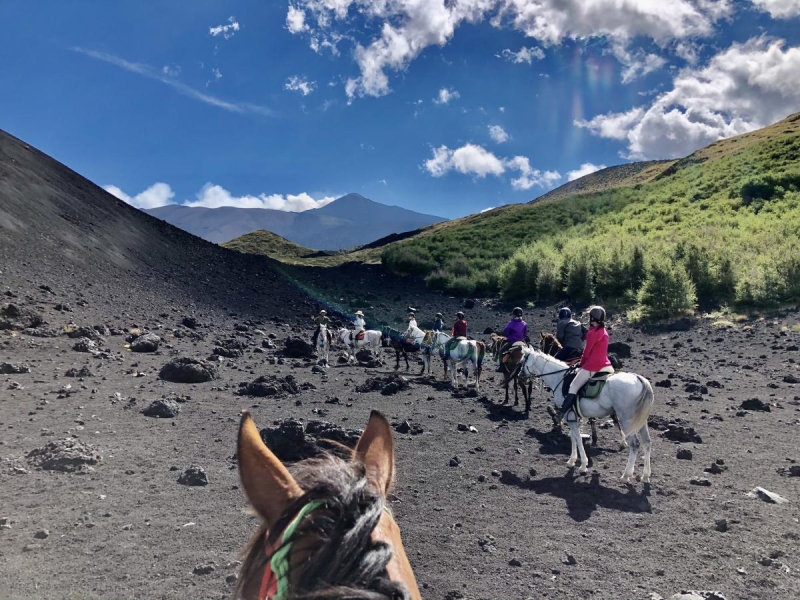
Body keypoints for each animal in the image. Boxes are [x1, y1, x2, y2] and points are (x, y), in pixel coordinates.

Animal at [520, 346, 656, 482]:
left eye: (522, 361)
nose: (520, 376)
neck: (559, 377)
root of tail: (640, 379)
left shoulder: (569, 415)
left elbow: (578, 438)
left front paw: (583, 465)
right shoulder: (574, 416)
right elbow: (573, 436)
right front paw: (572, 461)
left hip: (627, 420)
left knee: (635, 444)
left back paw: (626, 475)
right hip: (640, 421)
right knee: (647, 442)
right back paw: (645, 475)